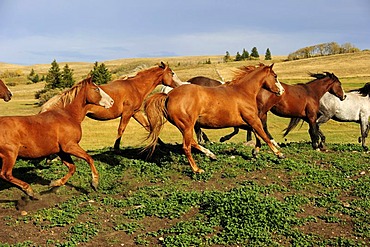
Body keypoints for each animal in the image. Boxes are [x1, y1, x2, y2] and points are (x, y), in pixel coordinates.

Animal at [145, 63, 286, 174]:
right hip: (187, 125)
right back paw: (197, 169)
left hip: (185, 127)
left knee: (193, 142)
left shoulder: (246, 122)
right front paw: (279, 154)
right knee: (186, 147)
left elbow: (257, 134)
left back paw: (211, 155)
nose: (282, 91)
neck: (243, 92)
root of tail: (168, 96)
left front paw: (255, 151)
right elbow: (264, 135)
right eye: (275, 76)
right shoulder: (253, 119)